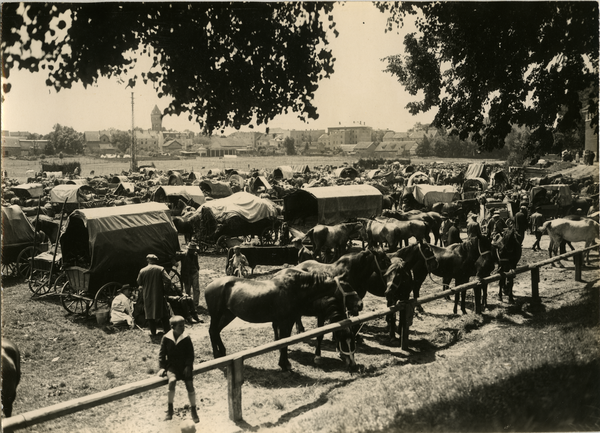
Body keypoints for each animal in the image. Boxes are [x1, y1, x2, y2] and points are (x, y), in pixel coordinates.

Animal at [204, 268, 364, 370]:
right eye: (347, 286)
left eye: (352, 340)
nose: (360, 304)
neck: (297, 288)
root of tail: (209, 286)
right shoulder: (285, 321)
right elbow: (284, 341)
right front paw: (285, 364)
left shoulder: (289, 320)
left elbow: (284, 340)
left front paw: (284, 362)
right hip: (217, 315)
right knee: (212, 331)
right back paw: (217, 355)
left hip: (228, 315)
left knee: (216, 331)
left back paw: (222, 353)